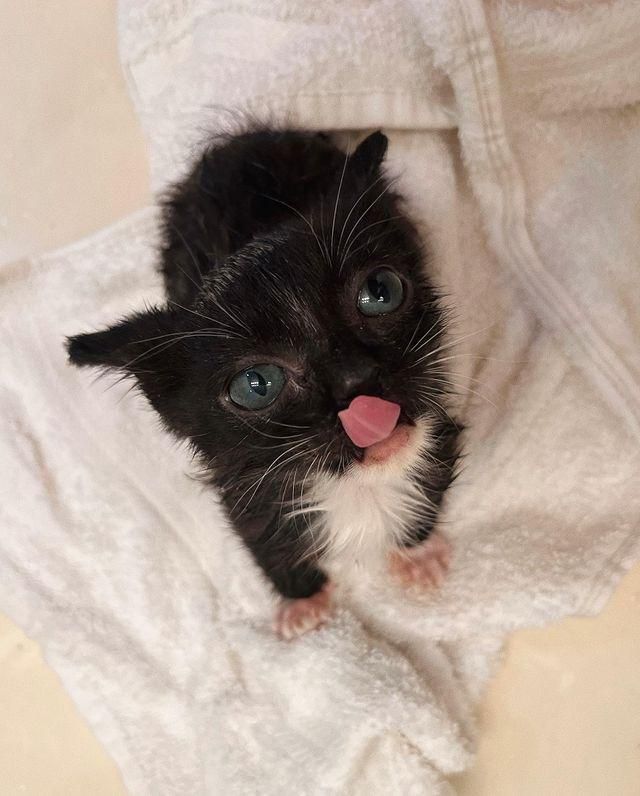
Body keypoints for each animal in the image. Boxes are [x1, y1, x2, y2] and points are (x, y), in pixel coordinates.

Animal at [67, 129, 460, 640]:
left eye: (380, 292)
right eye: (256, 385)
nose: (357, 381)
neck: (358, 488)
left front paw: (416, 551)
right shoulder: (242, 484)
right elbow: (260, 535)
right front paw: (303, 599)